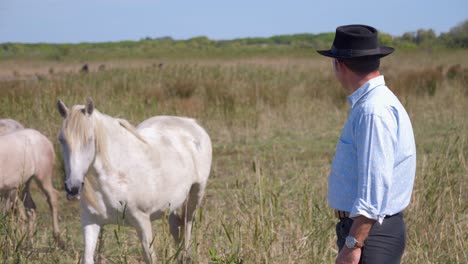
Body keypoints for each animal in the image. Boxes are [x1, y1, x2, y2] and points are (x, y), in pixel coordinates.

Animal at [56, 99, 212, 264]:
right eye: (61, 140)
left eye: (90, 139)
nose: (72, 187)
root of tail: (191, 123)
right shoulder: (90, 221)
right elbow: (87, 257)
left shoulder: (142, 221)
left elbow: (151, 257)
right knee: (176, 227)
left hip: (195, 195)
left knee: (187, 225)